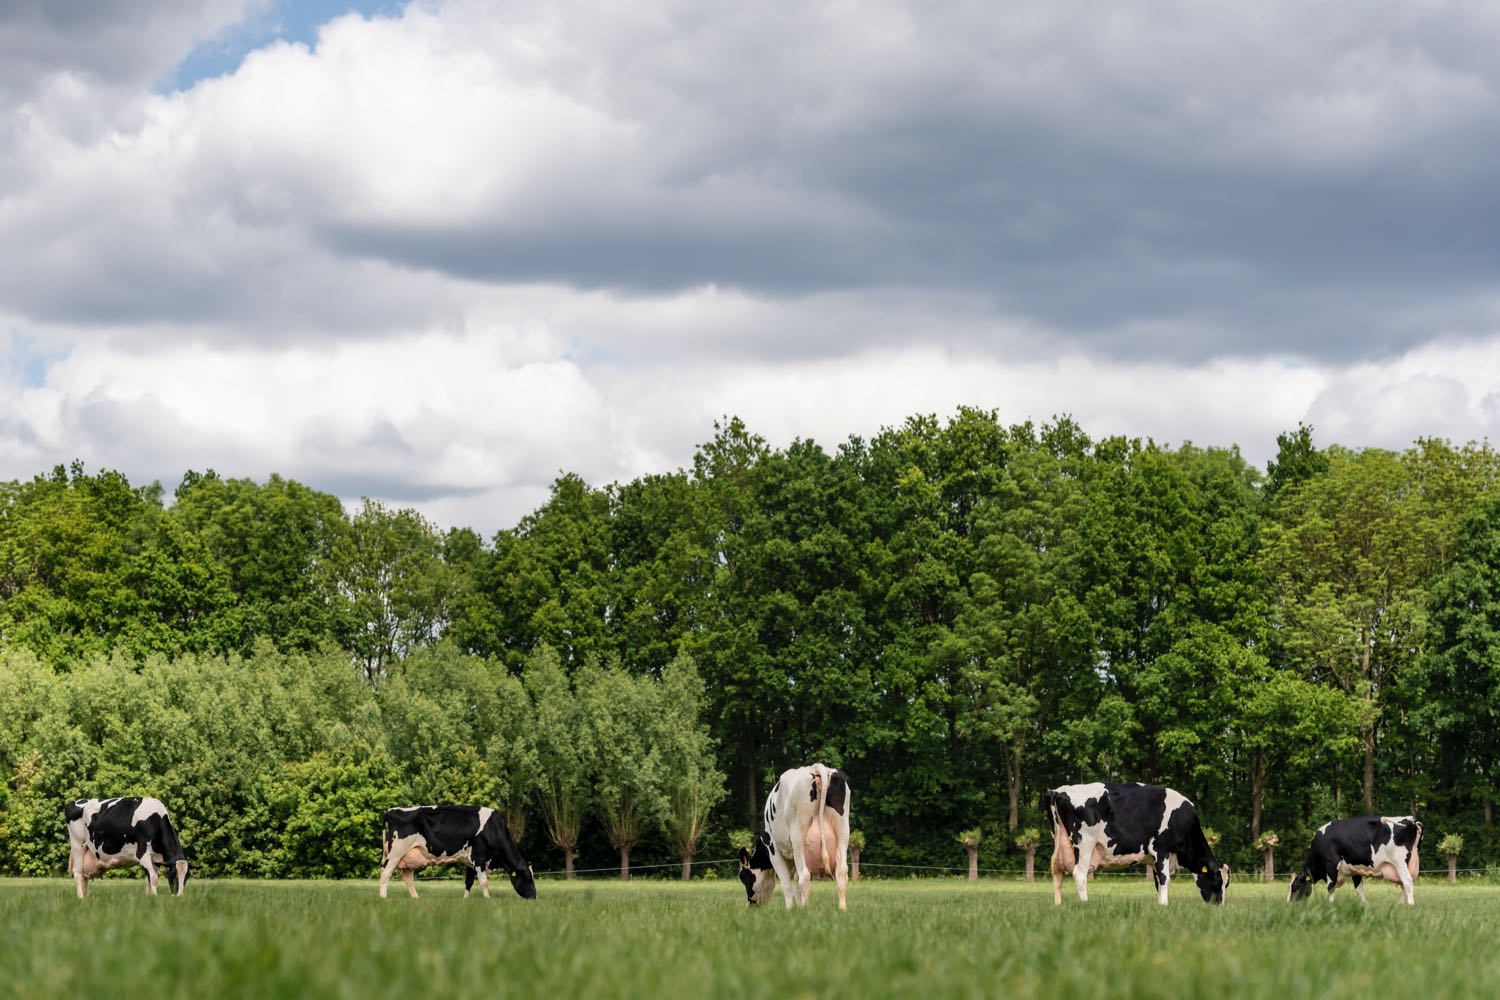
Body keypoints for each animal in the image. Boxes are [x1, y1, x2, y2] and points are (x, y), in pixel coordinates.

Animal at [378, 803, 537, 899]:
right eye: (527, 877)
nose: (534, 896)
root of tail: (390, 811)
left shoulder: (470, 861)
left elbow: (469, 882)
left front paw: (465, 900)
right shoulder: (479, 857)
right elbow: (483, 882)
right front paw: (488, 899)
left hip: (407, 856)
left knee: (408, 877)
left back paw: (416, 898)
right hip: (396, 852)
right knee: (385, 873)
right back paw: (383, 897)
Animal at [735, 767, 846, 905]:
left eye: (743, 877)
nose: (750, 903)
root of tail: (817, 767)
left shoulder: (774, 851)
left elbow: (787, 885)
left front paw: (791, 908)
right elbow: (796, 887)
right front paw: (798, 907)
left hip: (798, 836)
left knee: (805, 876)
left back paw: (807, 908)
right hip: (842, 829)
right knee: (841, 872)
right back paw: (842, 908)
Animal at [1050, 779, 1224, 905]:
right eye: (1217, 882)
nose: (1218, 906)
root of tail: (1058, 791)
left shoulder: (1154, 858)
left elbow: (1158, 881)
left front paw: (1160, 905)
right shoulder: (1160, 849)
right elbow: (1165, 879)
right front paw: (1165, 905)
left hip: (1059, 841)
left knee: (1057, 872)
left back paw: (1058, 904)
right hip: (1085, 843)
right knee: (1079, 873)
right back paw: (1085, 903)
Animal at [1284, 815, 1422, 905]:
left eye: (1294, 886)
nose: (1289, 904)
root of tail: (1412, 820)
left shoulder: (1331, 863)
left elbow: (1330, 887)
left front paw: (1329, 905)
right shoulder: (1355, 870)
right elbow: (1359, 890)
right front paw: (1365, 905)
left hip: (1399, 862)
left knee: (1407, 881)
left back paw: (1410, 905)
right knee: (1404, 884)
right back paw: (1399, 905)